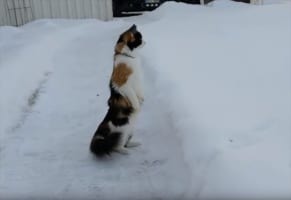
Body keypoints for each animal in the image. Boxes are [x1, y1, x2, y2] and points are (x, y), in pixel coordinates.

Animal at [89, 24, 145, 156]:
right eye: (140, 39)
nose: (146, 41)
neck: (128, 56)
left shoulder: (137, 83)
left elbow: (139, 93)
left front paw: (142, 100)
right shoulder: (123, 85)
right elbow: (134, 98)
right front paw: (137, 107)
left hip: (130, 131)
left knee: (126, 143)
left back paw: (135, 144)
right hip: (121, 133)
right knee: (117, 147)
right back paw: (127, 153)